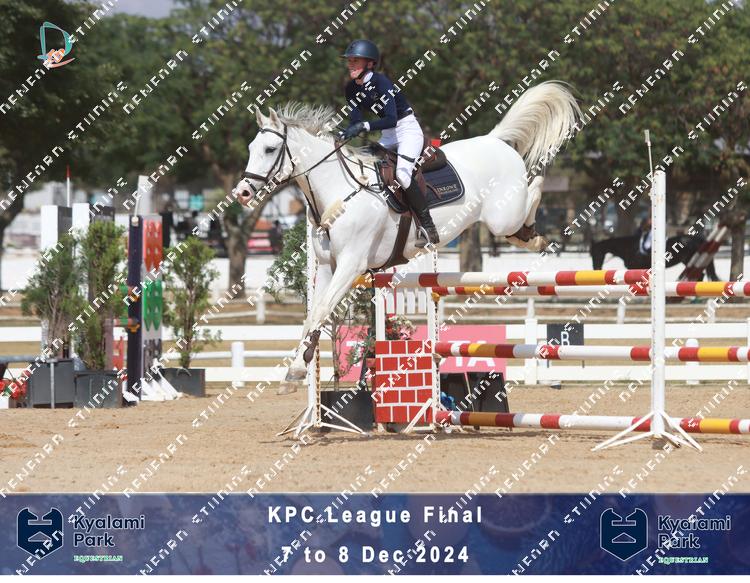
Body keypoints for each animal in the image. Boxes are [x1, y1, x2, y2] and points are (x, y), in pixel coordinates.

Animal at [234, 81, 581, 392]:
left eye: (269, 149)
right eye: (250, 149)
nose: (242, 192)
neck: (338, 191)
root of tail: (494, 141)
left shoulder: (351, 265)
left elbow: (320, 311)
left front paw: (295, 369)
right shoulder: (328, 267)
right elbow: (312, 317)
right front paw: (295, 370)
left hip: (501, 216)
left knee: (535, 188)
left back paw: (539, 229)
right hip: (503, 224)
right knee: (519, 226)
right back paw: (532, 237)